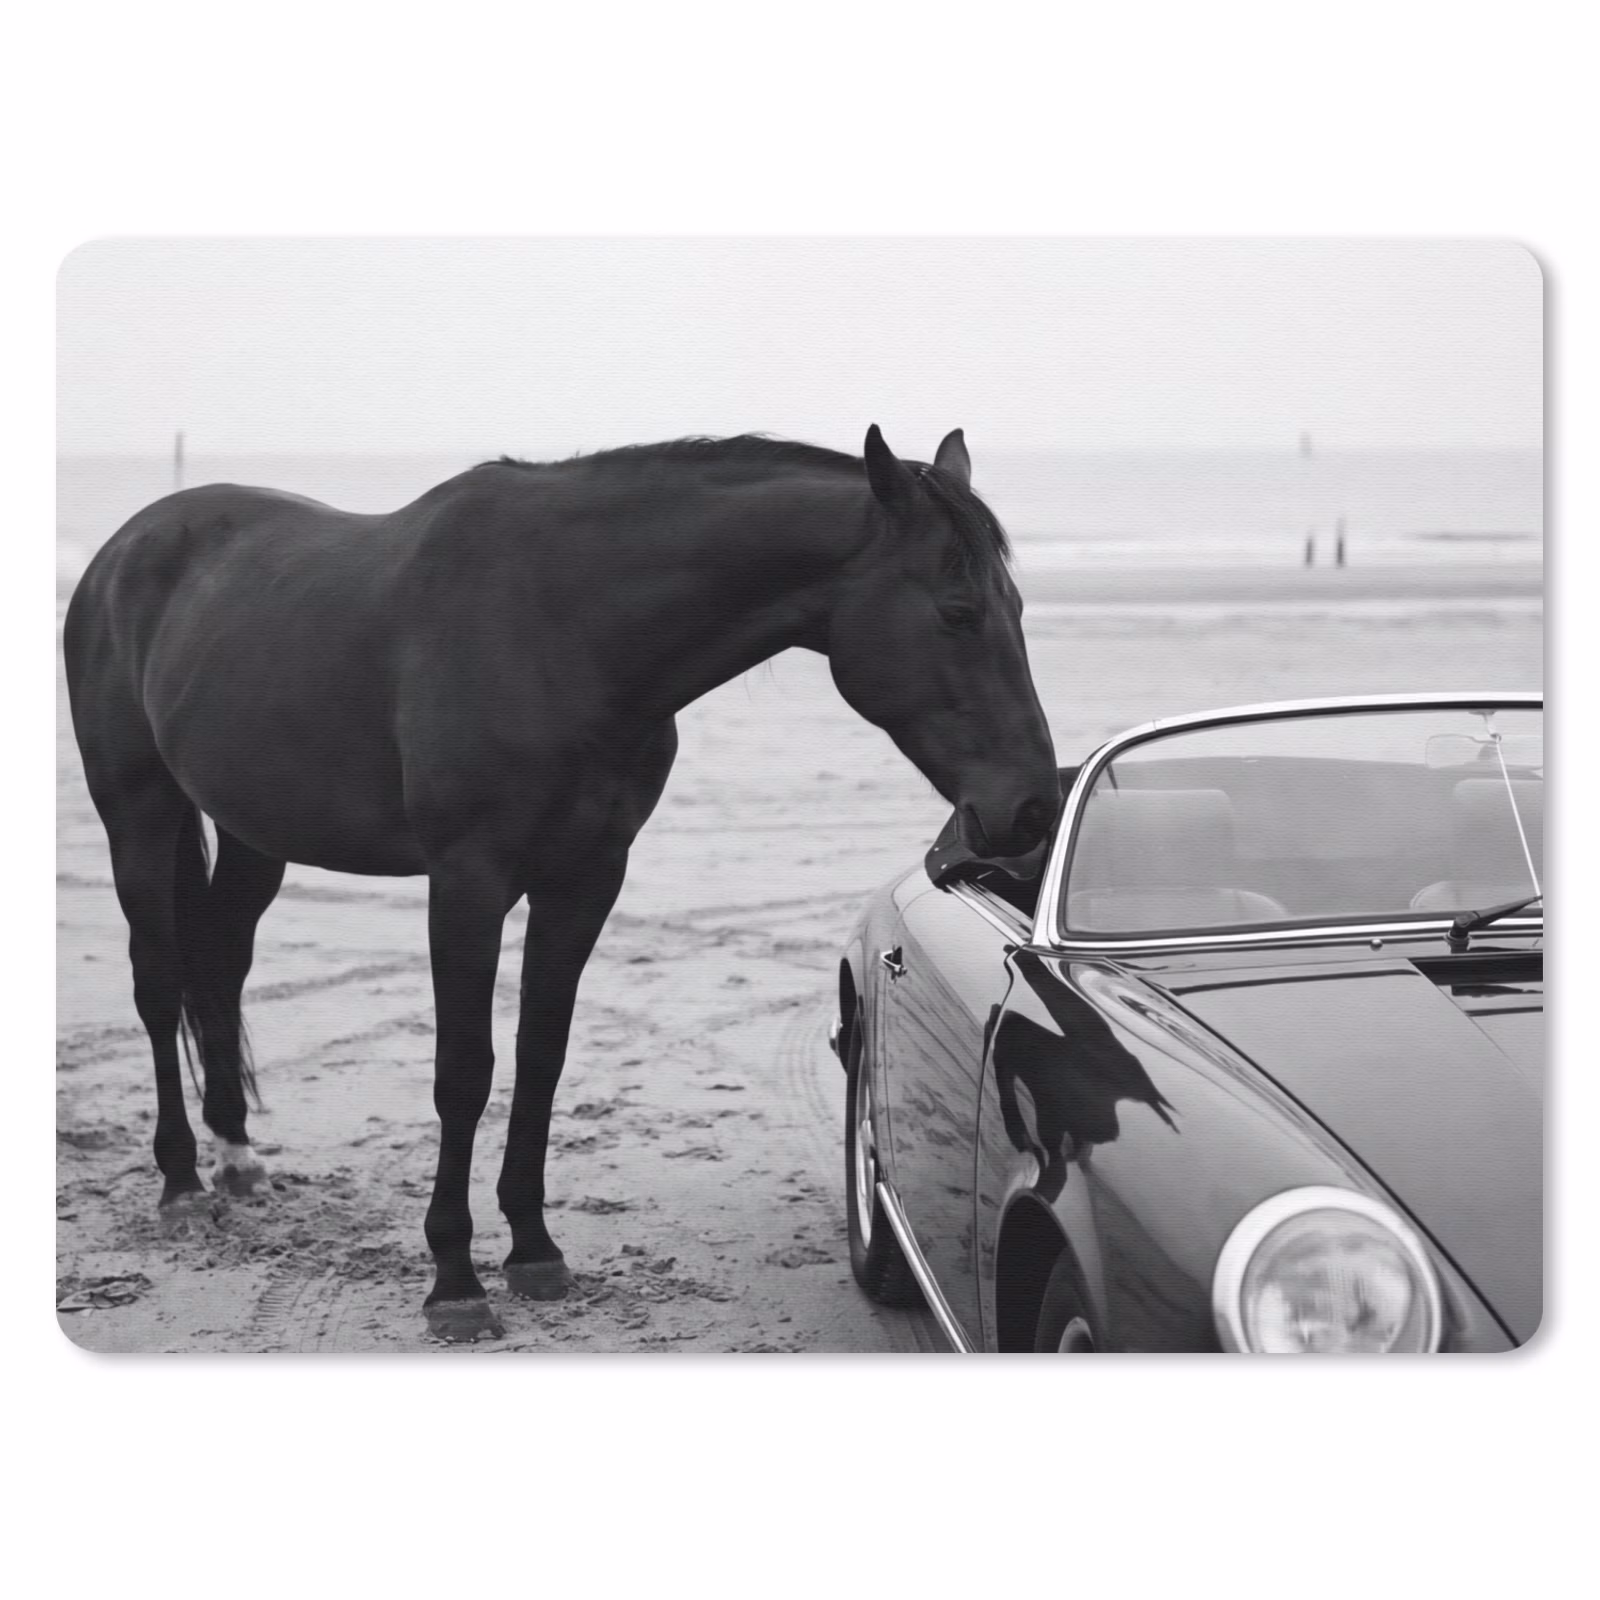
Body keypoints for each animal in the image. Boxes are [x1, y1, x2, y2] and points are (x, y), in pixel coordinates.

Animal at [64, 425, 1060, 1341]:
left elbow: (541, 1056)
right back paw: (181, 1183)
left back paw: (235, 1154)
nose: (1031, 809)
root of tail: (125, 550)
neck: (562, 628)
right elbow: (464, 1071)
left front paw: (534, 1251)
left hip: (252, 831)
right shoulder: (466, 882)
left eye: (1017, 604)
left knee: (221, 963)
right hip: (138, 817)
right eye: (958, 610)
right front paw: (454, 1280)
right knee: (158, 982)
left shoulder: (584, 880)